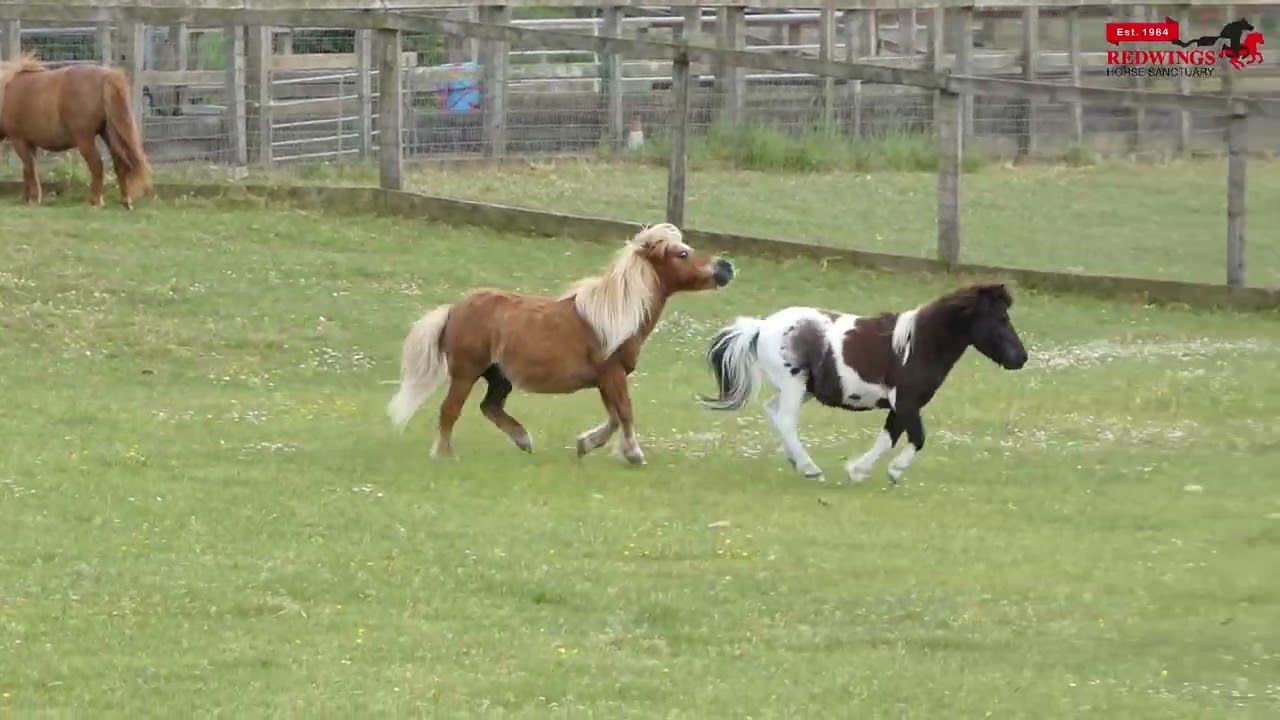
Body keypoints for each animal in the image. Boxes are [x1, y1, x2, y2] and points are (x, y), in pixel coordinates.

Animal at [0, 54, 152, 209]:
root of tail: (108, 76)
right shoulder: (30, 143)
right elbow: (27, 169)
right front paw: (27, 198)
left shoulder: (19, 140)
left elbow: (30, 168)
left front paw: (34, 198)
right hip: (109, 134)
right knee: (120, 163)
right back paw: (125, 201)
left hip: (85, 139)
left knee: (97, 165)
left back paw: (96, 201)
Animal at [387, 223, 735, 465]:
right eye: (682, 253)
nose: (726, 267)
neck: (613, 317)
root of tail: (453, 310)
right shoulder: (612, 375)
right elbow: (624, 412)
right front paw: (634, 454)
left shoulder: (605, 380)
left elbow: (614, 417)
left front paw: (587, 445)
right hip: (466, 373)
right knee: (450, 411)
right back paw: (444, 454)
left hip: (499, 377)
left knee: (490, 407)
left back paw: (523, 440)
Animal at [697, 282, 1027, 485]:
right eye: (1000, 318)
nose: (1021, 358)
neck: (916, 346)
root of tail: (762, 326)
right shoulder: (907, 402)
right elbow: (917, 438)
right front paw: (893, 471)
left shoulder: (900, 406)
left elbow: (888, 438)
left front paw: (858, 471)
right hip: (793, 385)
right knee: (786, 421)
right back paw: (810, 469)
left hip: (802, 390)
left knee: (772, 412)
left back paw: (796, 462)